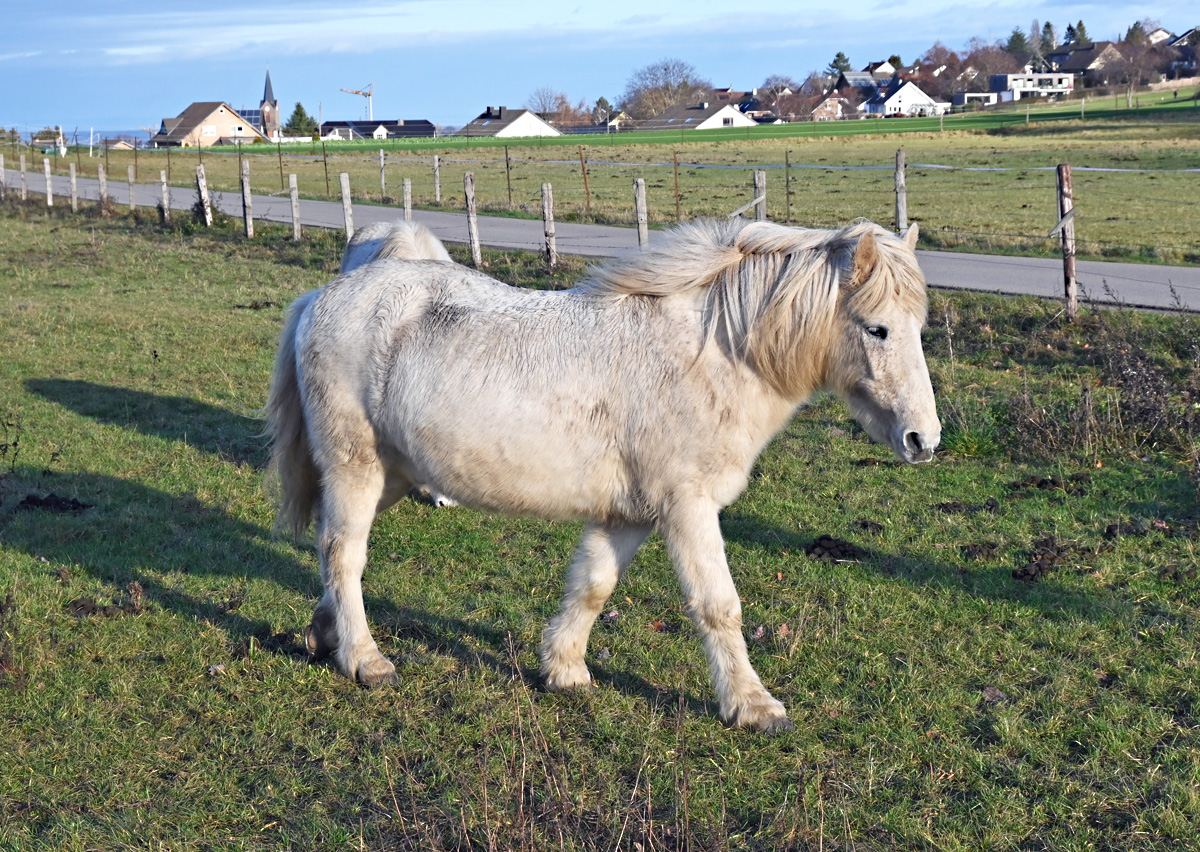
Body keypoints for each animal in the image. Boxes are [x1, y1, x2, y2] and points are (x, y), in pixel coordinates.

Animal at [267, 218, 940, 734]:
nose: (924, 440)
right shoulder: (687, 507)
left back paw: (326, 633)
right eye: (877, 328)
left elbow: (593, 585)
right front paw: (752, 706)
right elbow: (718, 605)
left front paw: (563, 671)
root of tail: (322, 297)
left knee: (334, 551)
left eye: (918, 330)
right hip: (355, 466)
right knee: (344, 553)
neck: (708, 356)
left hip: (393, 476)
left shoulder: (631, 513)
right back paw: (363, 659)